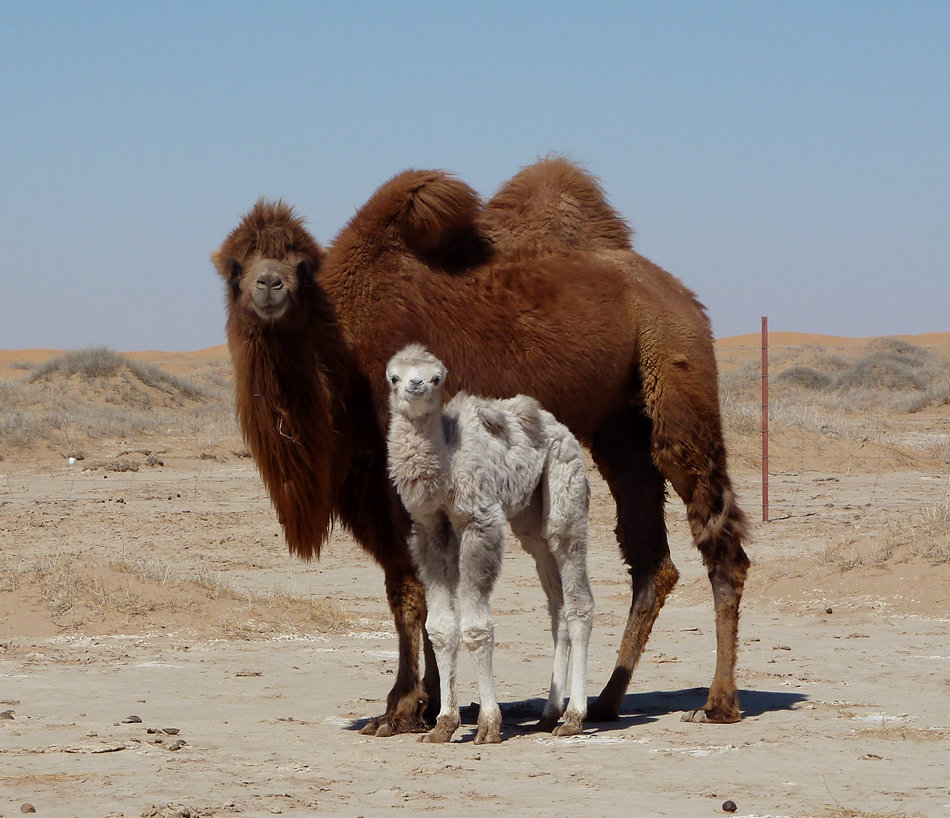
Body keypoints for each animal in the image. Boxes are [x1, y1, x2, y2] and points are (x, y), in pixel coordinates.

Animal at [210, 156, 752, 736]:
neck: (342, 353)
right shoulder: (367, 485)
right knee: (651, 559)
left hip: (676, 375)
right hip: (618, 429)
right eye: (236, 265)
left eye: (302, 266)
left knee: (715, 530)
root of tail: (680, 296)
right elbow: (406, 589)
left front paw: (406, 707)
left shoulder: (393, 485)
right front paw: (417, 705)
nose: (269, 284)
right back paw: (604, 702)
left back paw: (717, 702)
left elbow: (412, 592)